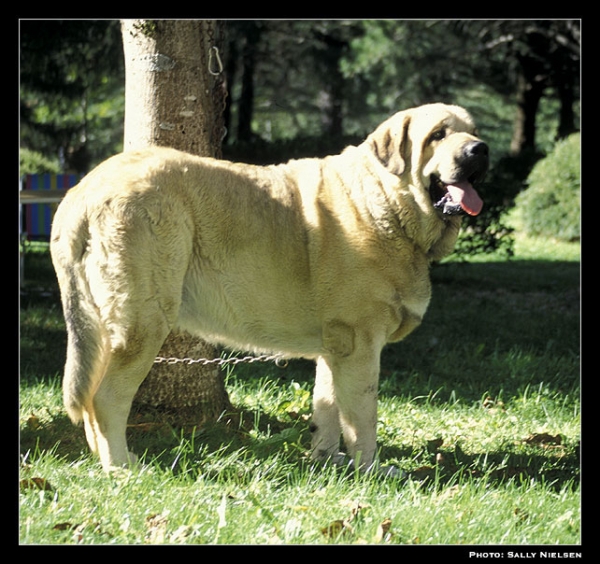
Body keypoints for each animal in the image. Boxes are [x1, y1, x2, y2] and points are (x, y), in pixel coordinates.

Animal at [50, 104, 488, 472]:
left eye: (473, 131)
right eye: (438, 135)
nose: (479, 150)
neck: (387, 205)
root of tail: (83, 191)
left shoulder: (336, 347)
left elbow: (327, 409)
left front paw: (327, 462)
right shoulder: (360, 344)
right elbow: (362, 417)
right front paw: (370, 470)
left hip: (104, 327)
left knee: (89, 397)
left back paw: (102, 459)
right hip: (143, 320)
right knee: (106, 397)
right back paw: (122, 468)